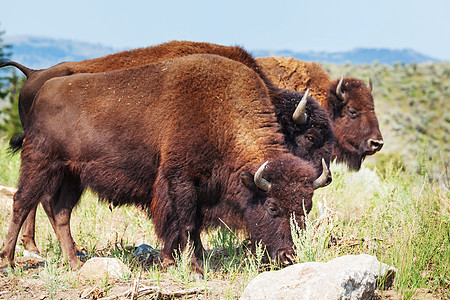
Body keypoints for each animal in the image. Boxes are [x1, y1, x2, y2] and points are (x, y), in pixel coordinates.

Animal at [0, 40, 334, 258]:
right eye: (309, 138)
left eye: (307, 208)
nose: (327, 177)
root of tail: (35, 76)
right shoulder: (178, 181)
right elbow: (182, 221)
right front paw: (184, 260)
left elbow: (193, 224)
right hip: (41, 161)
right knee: (26, 201)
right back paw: (18, 255)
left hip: (70, 174)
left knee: (54, 208)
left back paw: (66, 256)